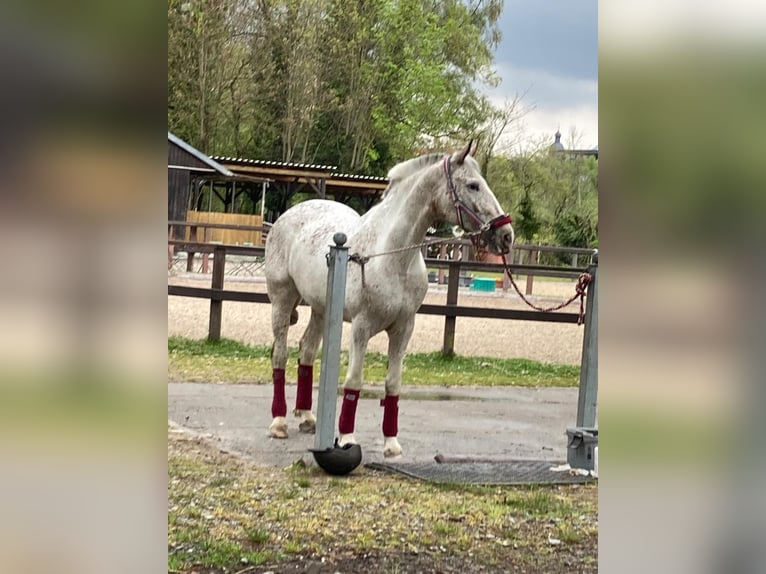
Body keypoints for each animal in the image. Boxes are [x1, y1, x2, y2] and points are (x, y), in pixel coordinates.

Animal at [264, 143, 516, 460]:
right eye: (473, 185)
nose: (506, 235)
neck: (391, 255)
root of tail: (286, 217)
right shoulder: (361, 327)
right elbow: (353, 381)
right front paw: (346, 438)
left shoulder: (403, 328)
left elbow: (393, 383)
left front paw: (391, 444)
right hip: (282, 301)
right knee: (280, 355)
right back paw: (279, 422)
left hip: (322, 310)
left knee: (307, 352)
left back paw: (308, 417)